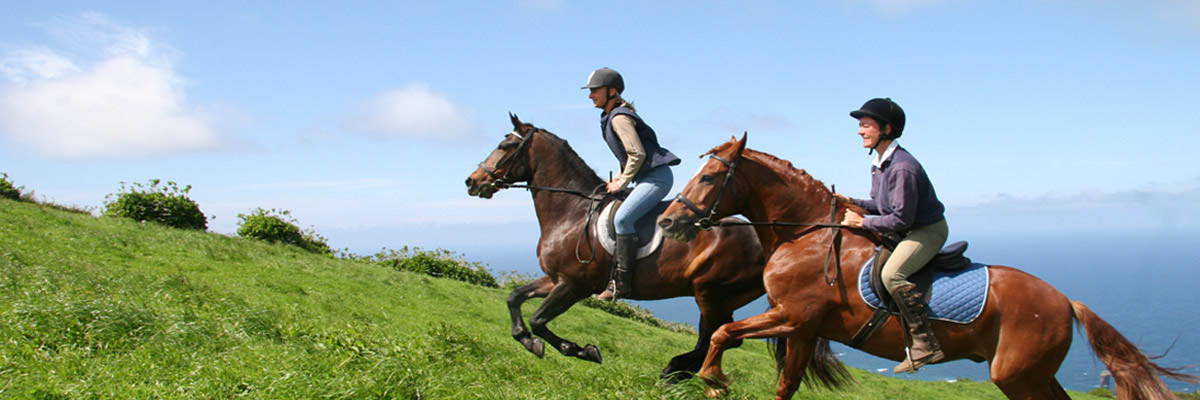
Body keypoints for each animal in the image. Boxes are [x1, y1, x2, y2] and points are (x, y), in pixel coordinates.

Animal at [460, 114, 844, 379]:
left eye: (506, 146)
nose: (471, 181)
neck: (571, 211)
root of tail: (780, 241)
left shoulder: (574, 285)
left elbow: (539, 319)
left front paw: (581, 350)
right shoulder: (554, 280)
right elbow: (514, 299)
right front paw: (528, 340)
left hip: (710, 291)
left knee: (717, 336)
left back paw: (673, 372)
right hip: (723, 296)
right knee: (722, 336)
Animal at [657, 134, 1200, 398]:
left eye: (709, 178)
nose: (666, 222)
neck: (807, 233)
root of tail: (1065, 301)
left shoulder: (791, 316)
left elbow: (722, 332)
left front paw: (712, 379)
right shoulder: (804, 328)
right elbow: (783, 384)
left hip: (1018, 377)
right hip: (1033, 375)